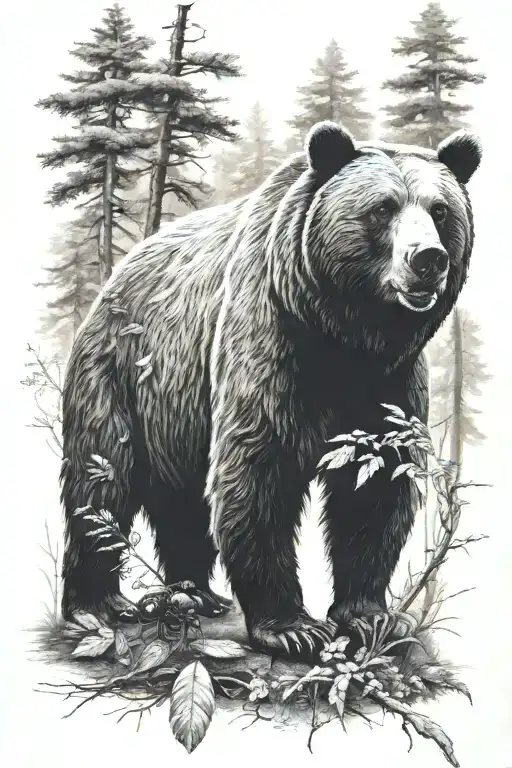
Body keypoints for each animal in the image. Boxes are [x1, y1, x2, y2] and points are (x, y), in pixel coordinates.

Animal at [60, 120, 482, 660]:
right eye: (382, 208)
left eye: (440, 210)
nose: (428, 258)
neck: (347, 334)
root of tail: (117, 274)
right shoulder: (271, 338)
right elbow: (259, 470)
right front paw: (292, 627)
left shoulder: (389, 382)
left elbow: (376, 485)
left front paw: (371, 617)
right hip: (122, 374)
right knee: (102, 482)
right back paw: (100, 607)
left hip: (175, 411)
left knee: (182, 501)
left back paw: (194, 594)